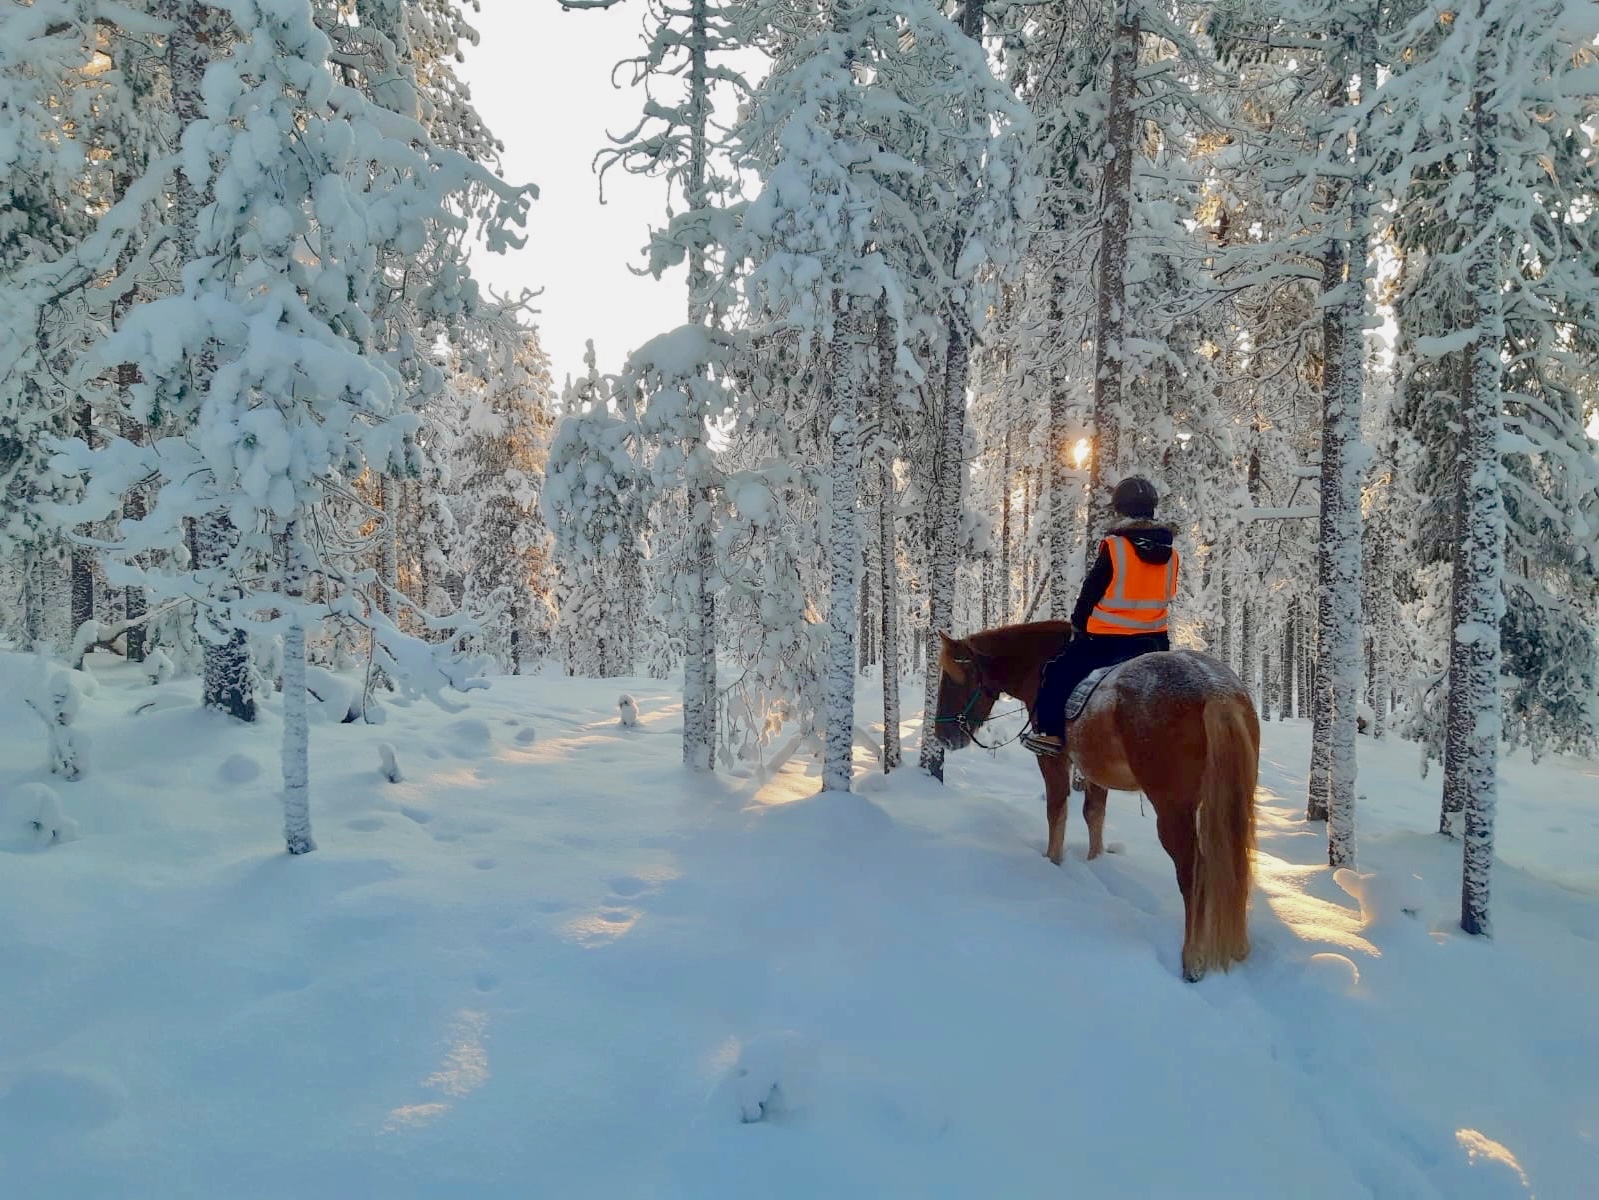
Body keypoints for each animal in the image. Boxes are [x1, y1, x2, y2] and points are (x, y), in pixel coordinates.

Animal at [933, 621, 1259, 982]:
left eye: (954, 679)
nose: (943, 737)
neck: (1040, 665)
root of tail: (1215, 691)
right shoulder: (1094, 770)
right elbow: (1094, 814)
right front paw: (1095, 861)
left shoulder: (1055, 760)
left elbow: (1057, 810)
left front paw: (1052, 861)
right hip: (1232, 798)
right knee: (1236, 859)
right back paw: (1239, 946)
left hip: (1172, 808)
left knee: (1193, 872)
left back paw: (1192, 958)